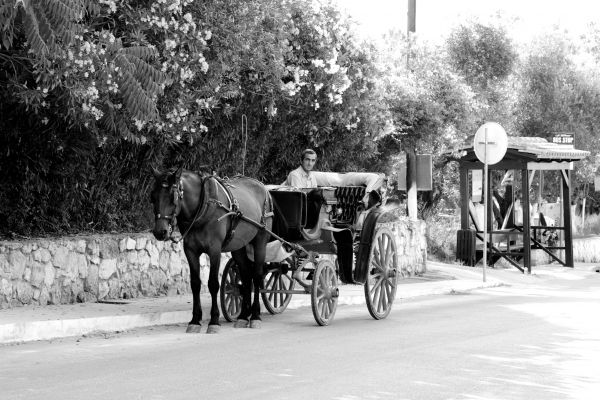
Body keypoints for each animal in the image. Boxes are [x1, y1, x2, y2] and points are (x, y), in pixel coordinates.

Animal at [150, 167, 274, 332]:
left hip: (260, 241)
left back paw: (255, 316)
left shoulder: (214, 251)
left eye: (173, 196)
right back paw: (242, 317)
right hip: (239, 247)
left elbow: (213, 284)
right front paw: (195, 320)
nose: (160, 232)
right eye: (153, 197)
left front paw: (214, 320)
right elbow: (195, 283)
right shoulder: (190, 251)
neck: (203, 206)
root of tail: (264, 188)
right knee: (247, 277)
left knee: (257, 276)